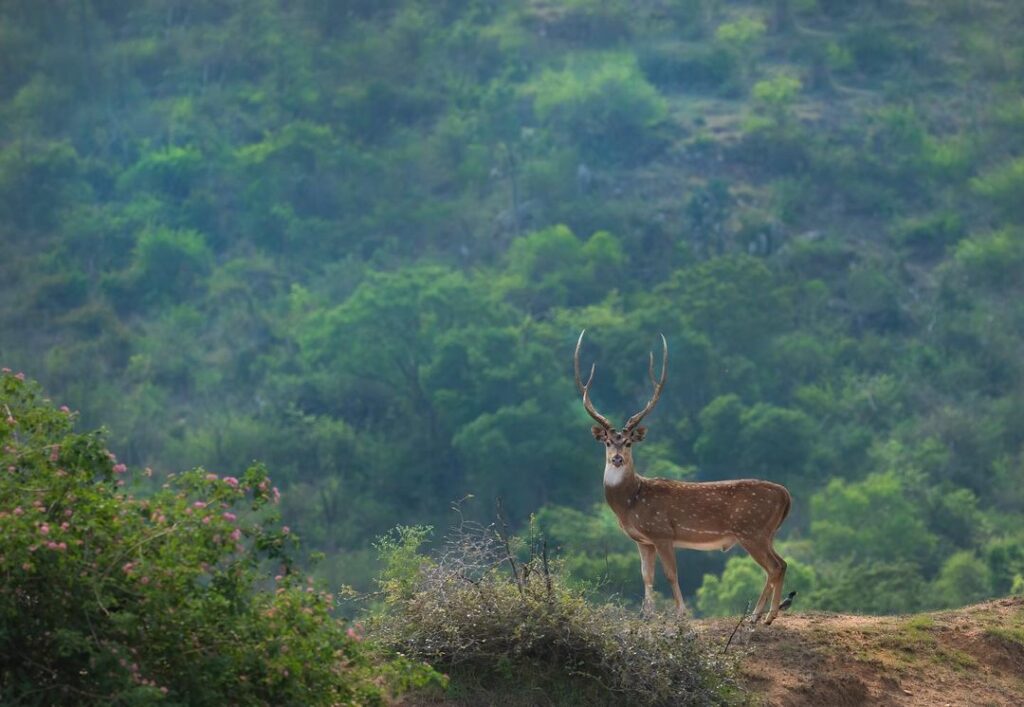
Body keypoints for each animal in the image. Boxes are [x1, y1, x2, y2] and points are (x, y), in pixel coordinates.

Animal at [577, 329, 790, 622]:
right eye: (608, 442)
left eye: (628, 442)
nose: (617, 458)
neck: (630, 502)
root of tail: (786, 496)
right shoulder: (643, 540)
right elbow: (646, 576)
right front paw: (647, 614)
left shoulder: (662, 531)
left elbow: (670, 574)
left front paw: (681, 613)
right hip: (766, 533)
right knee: (780, 564)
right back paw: (760, 615)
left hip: (752, 529)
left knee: (775, 566)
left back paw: (764, 616)